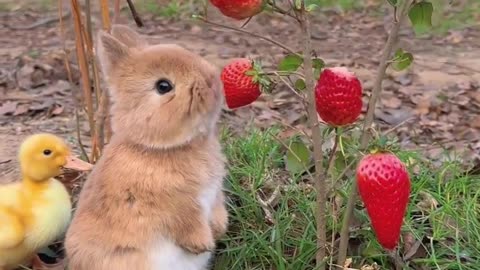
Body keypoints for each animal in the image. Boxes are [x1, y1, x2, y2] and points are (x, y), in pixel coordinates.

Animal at [64, 24, 230, 268]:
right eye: (163, 86)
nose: (213, 83)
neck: (157, 147)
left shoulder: (214, 191)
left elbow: (217, 207)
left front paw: (219, 229)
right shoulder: (175, 205)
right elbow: (187, 222)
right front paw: (202, 244)